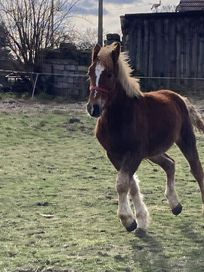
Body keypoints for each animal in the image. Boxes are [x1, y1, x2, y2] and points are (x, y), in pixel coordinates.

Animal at [86, 42, 204, 234]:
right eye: (90, 72)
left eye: (109, 74)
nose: (93, 108)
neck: (119, 117)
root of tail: (179, 97)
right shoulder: (114, 154)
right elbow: (131, 183)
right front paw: (139, 220)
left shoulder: (135, 153)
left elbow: (122, 183)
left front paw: (127, 220)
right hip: (153, 151)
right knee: (170, 164)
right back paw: (175, 205)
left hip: (185, 140)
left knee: (197, 170)